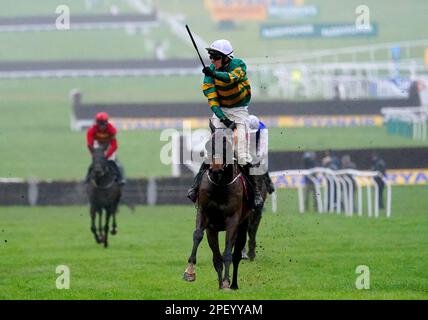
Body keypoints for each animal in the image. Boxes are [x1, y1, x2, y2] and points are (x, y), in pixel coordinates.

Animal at [184, 127, 251, 290]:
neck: (220, 187)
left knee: (236, 254)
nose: (215, 171)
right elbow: (198, 236)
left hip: (243, 224)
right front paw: (190, 272)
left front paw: (226, 282)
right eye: (209, 145)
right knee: (217, 256)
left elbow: (227, 253)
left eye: (226, 146)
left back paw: (233, 284)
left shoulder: (233, 220)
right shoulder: (205, 217)